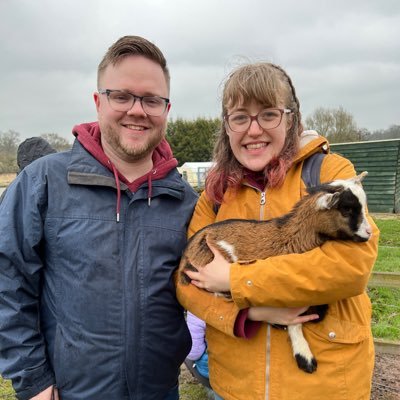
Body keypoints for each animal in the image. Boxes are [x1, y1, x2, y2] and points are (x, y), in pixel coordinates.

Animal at [179, 172, 372, 376]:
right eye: (347, 209)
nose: (369, 232)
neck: (294, 237)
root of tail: (185, 253)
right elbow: (295, 322)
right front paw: (305, 358)